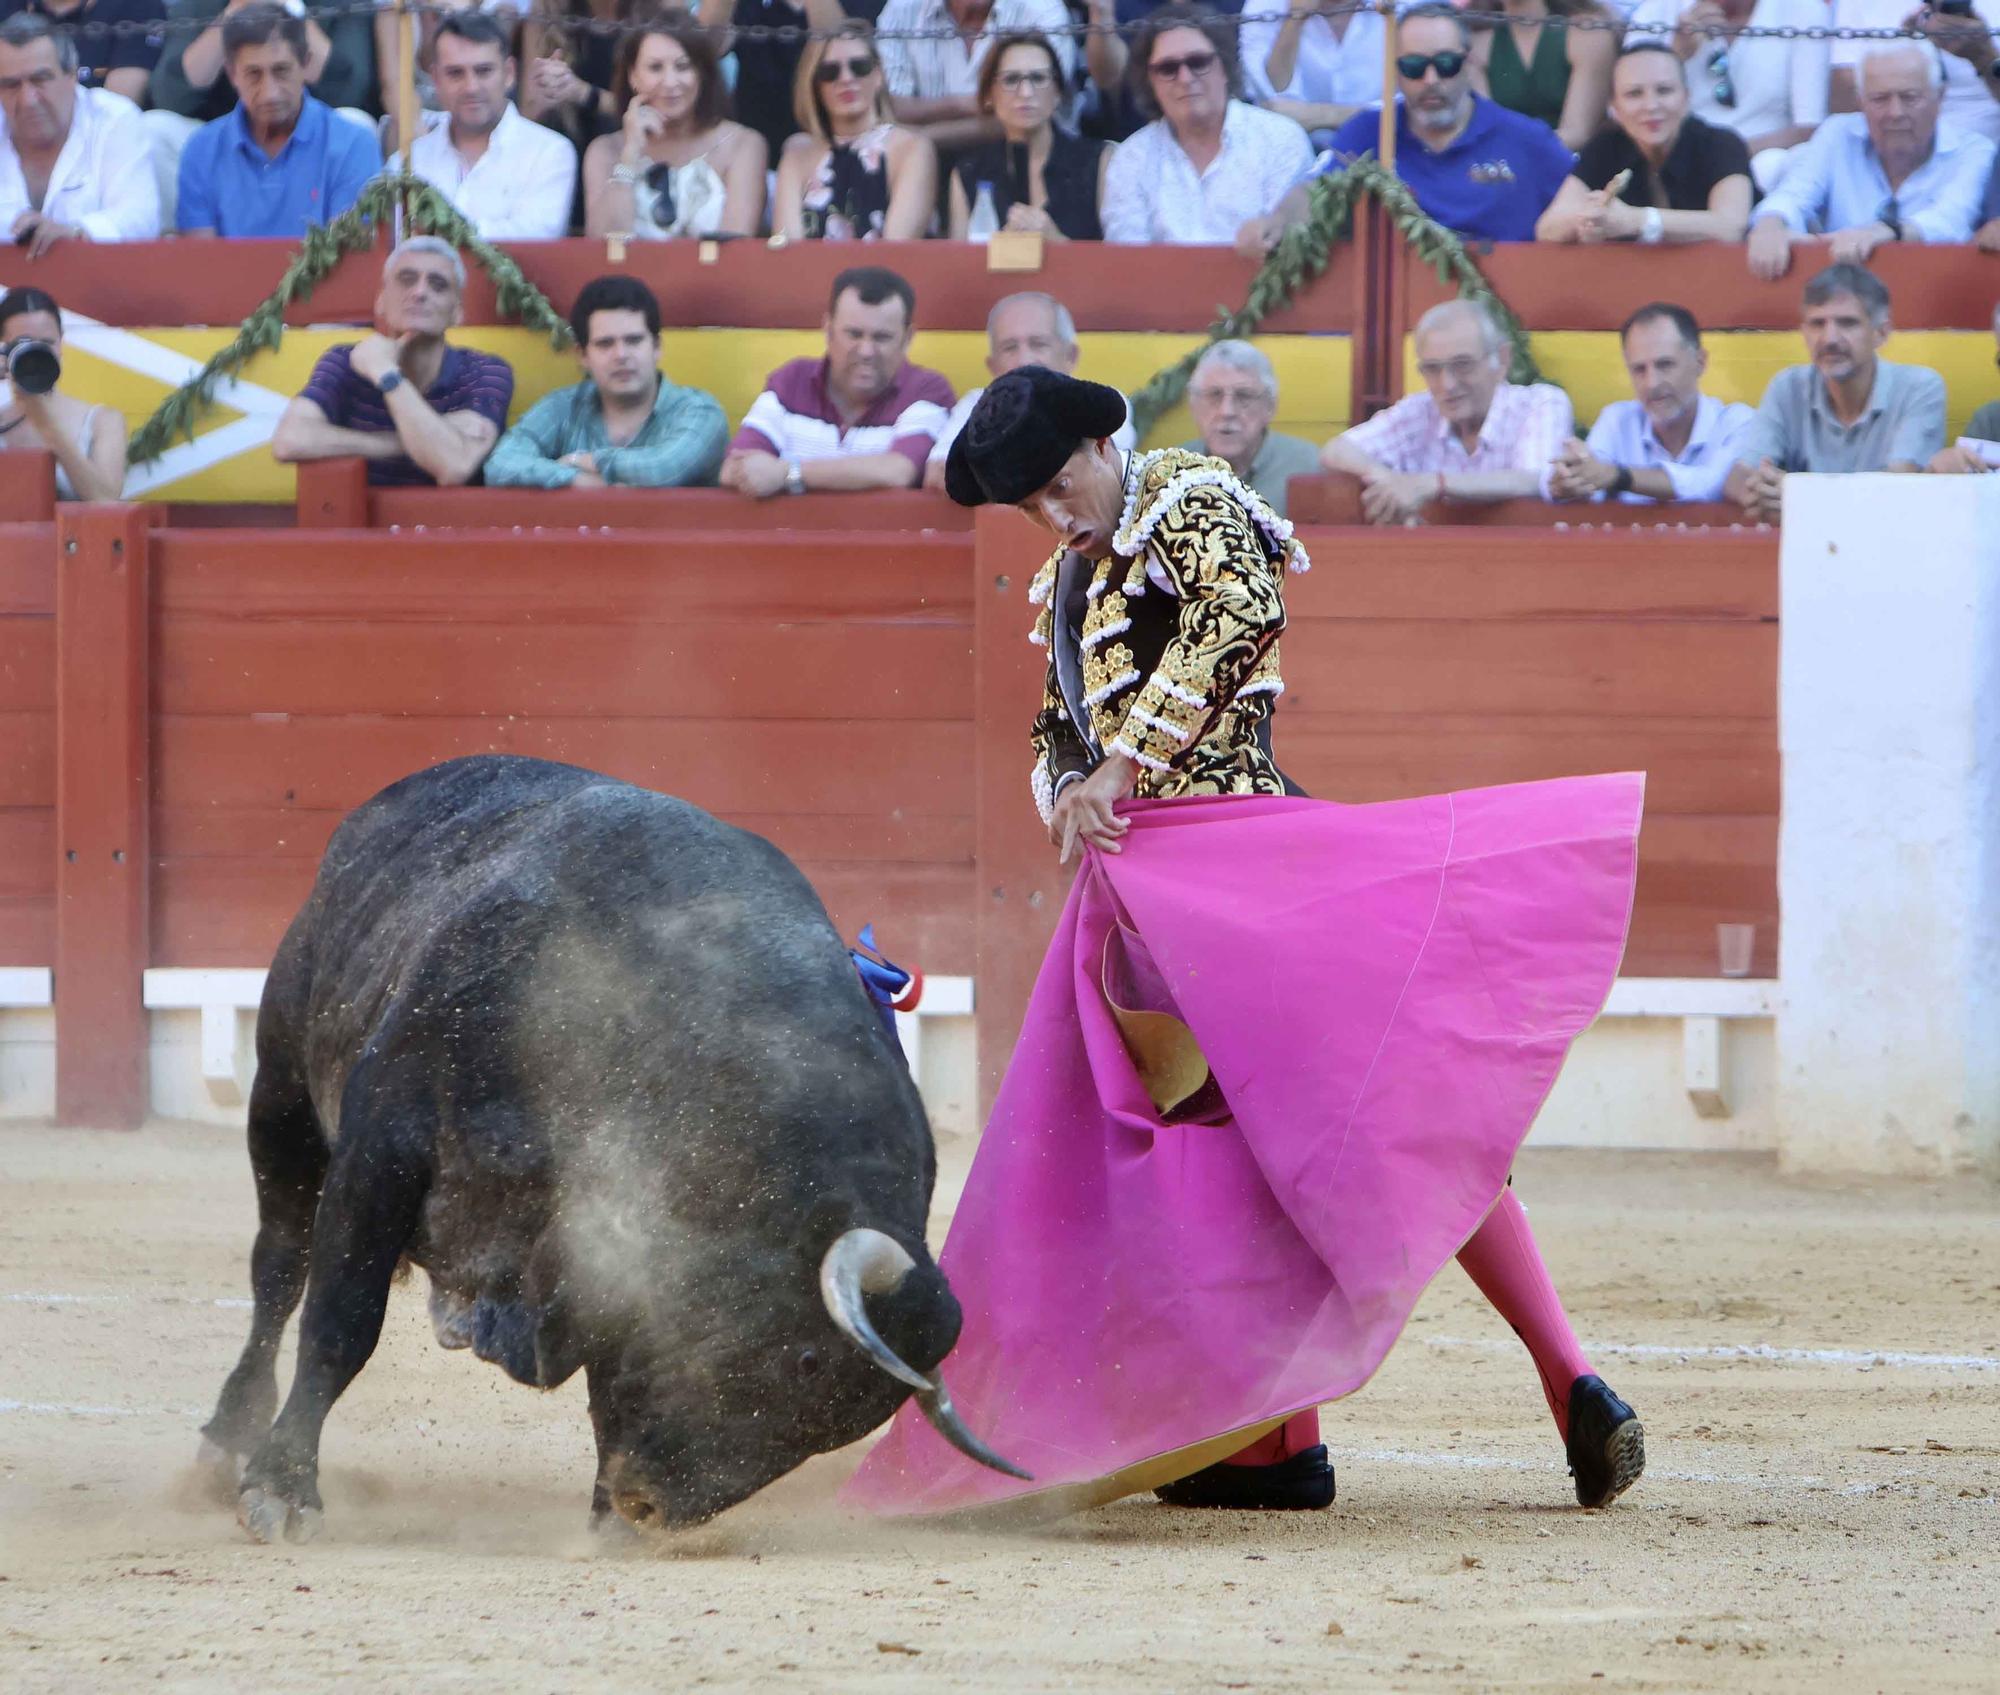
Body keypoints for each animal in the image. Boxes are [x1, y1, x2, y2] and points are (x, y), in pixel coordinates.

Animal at [201, 759, 1024, 1543]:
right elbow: (341, 1323)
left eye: (840, 1430)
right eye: (806, 1360)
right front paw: (280, 1488)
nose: (645, 1510)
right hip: (283, 1104)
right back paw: (226, 1440)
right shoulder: (380, 1149)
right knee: (279, 1271)